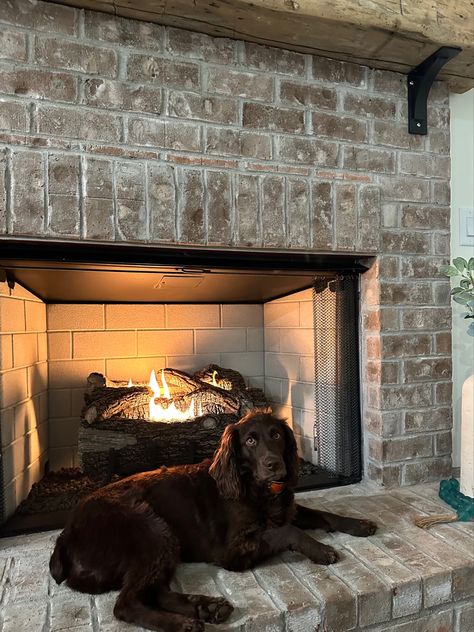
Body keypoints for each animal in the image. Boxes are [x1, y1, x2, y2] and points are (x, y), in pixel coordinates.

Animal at [50, 410, 376, 632]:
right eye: (251, 440)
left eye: (276, 435)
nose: (275, 465)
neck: (254, 487)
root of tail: (65, 535)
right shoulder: (233, 552)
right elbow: (288, 531)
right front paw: (321, 550)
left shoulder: (287, 508)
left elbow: (321, 515)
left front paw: (359, 524)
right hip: (152, 529)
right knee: (126, 604)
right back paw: (184, 623)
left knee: (154, 592)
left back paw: (207, 608)